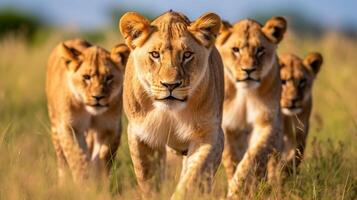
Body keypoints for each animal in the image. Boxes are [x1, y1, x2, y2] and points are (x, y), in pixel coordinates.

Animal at [45, 38, 129, 184]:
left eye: (109, 77)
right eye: (87, 77)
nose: (98, 97)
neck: (91, 112)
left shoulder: (111, 128)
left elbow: (104, 157)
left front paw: (99, 183)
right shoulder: (69, 127)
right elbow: (77, 157)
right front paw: (83, 184)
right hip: (55, 125)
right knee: (62, 160)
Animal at [118, 10, 224, 198]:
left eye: (187, 55)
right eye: (155, 54)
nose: (170, 85)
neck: (169, 113)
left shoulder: (210, 134)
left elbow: (192, 179)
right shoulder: (140, 134)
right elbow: (148, 179)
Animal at [214, 16, 286, 197]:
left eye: (260, 50)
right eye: (236, 49)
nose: (248, 70)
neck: (245, 93)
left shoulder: (267, 124)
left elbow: (252, 158)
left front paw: (237, 187)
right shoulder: (226, 126)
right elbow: (231, 160)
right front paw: (235, 189)